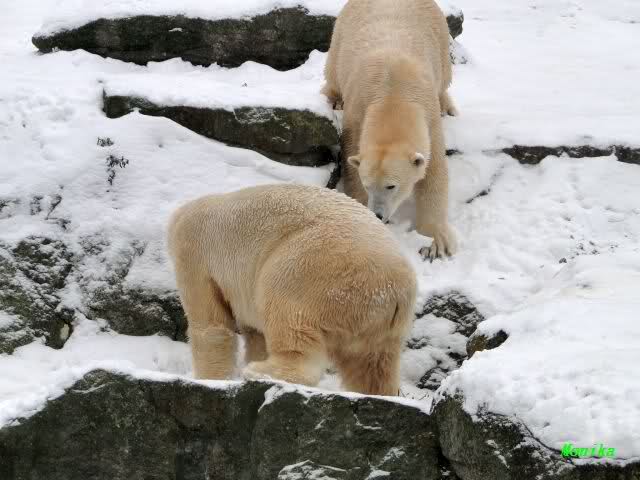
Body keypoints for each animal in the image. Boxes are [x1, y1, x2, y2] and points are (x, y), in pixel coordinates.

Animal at [167, 184, 416, 396]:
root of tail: (392, 289)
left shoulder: (194, 252)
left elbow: (210, 326)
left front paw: (211, 378)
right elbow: (254, 333)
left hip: (313, 268)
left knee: (286, 312)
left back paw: (262, 371)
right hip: (383, 327)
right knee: (373, 366)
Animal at [322, 0, 457, 260]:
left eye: (391, 186)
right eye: (367, 183)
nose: (378, 214)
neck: (393, 92)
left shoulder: (429, 121)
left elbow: (435, 173)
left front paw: (435, 242)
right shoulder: (357, 115)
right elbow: (351, 166)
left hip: (441, 37)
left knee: (446, 77)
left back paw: (449, 106)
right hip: (341, 31)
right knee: (332, 69)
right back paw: (332, 99)